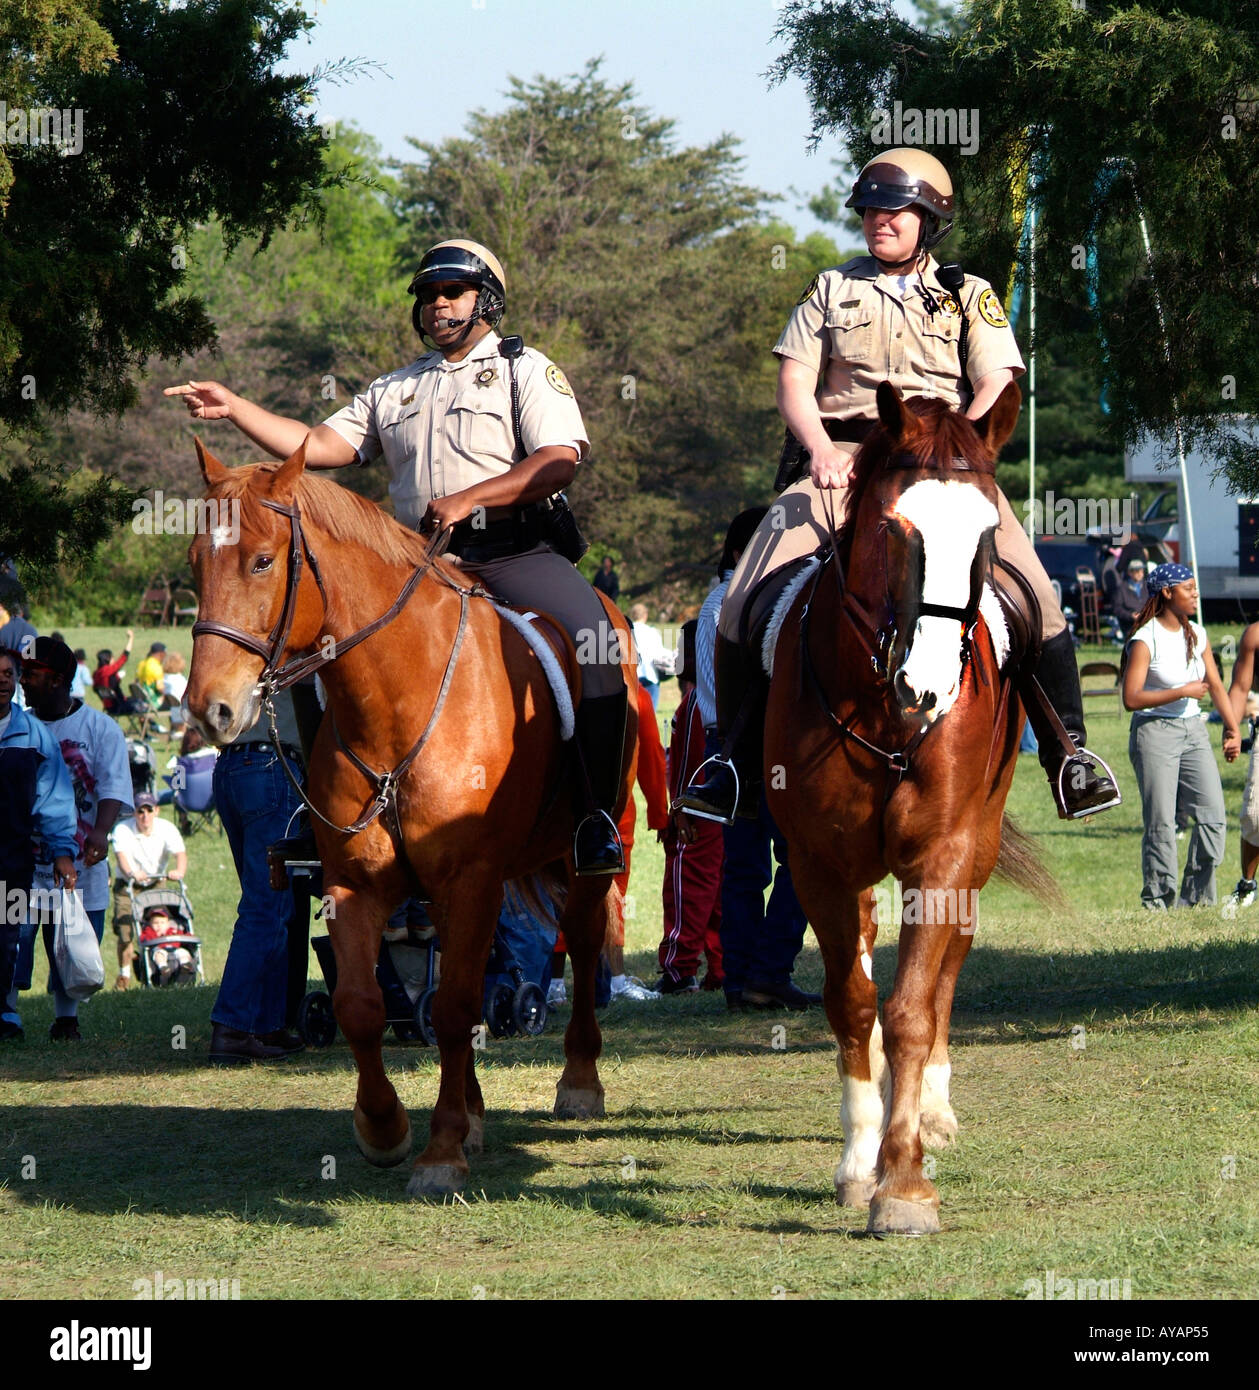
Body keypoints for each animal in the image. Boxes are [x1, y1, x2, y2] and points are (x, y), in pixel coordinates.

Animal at [183, 442, 639, 1195]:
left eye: (261, 560)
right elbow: (362, 1007)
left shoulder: (473, 879)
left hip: (583, 857)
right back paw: (475, 1111)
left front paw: (442, 1151)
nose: (209, 709)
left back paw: (578, 1081)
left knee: (576, 939)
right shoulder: (355, 885)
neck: (399, 699)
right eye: (195, 560)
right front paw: (386, 1128)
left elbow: (453, 1010)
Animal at [767, 383, 1050, 1239]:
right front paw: (862, 1161)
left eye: (987, 533)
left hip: (974, 852)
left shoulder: (945, 854)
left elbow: (914, 1008)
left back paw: (930, 1105)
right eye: (896, 528)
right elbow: (854, 1002)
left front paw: (905, 1182)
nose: (927, 689)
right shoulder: (819, 863)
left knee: (950, 961)